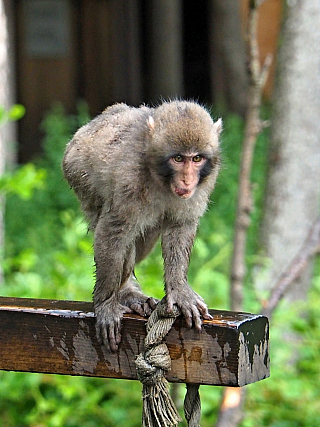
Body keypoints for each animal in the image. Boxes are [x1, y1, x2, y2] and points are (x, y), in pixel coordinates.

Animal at [62, 100, 222, 352]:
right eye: (178, 159)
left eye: (196, 159)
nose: (187, 180)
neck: (161, 178)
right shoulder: (130, 181)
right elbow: (113, 231)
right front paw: (105, 303)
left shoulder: (203, 184)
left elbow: (180, 226)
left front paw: (179, 290)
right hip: (78, 175)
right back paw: (124, 293)